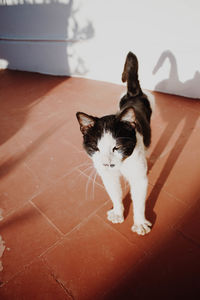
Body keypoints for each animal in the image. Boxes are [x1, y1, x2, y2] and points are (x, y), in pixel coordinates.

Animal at [76, 51, 153, 234]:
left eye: (117, 147)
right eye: (95, 148)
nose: (108, 164)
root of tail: (134, 94)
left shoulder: (138, 176)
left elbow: (139, 201)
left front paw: (140, 223)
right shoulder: (108, 175)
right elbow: (115, 193)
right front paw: (118, 213)